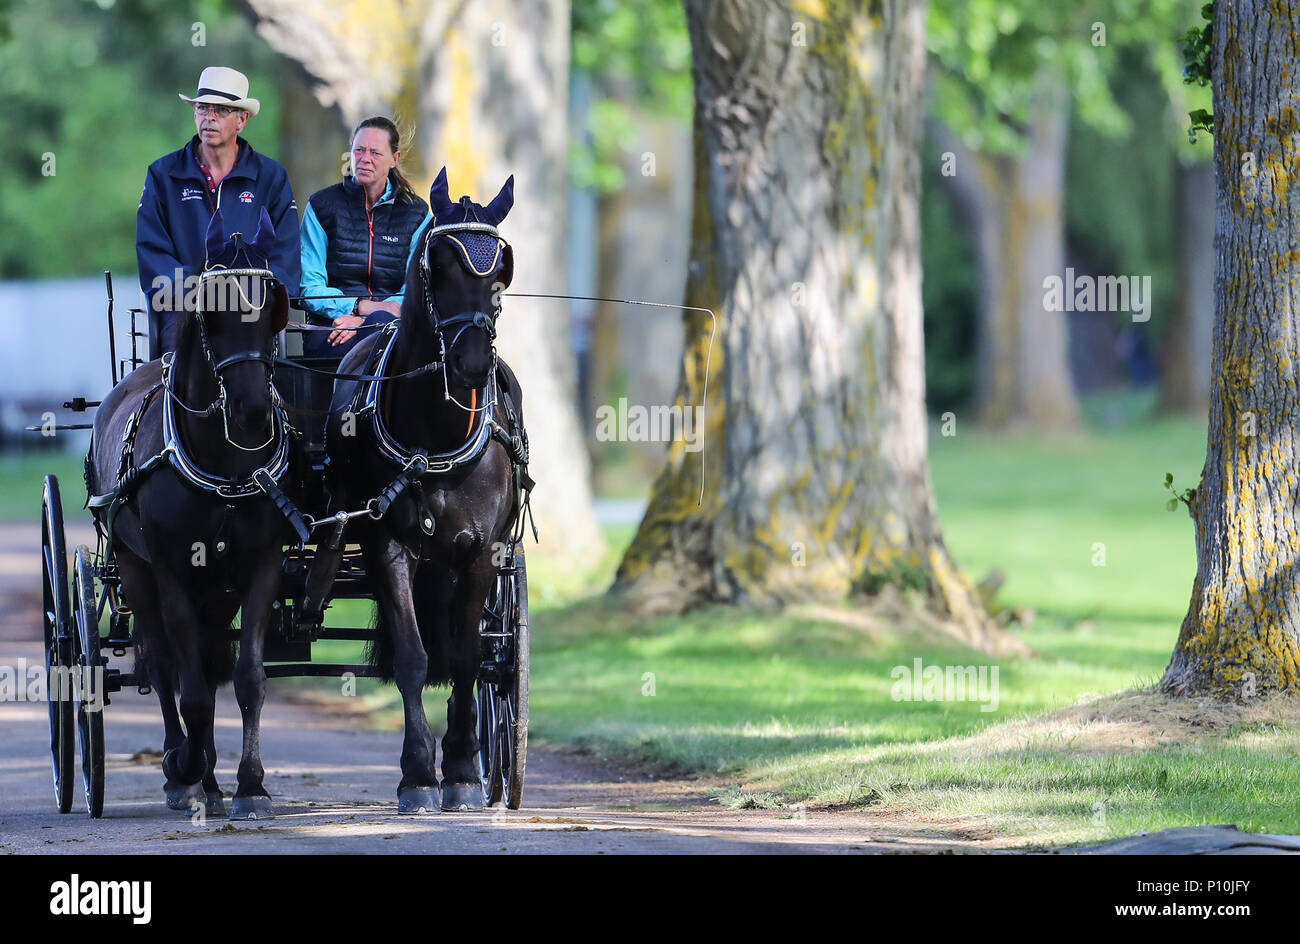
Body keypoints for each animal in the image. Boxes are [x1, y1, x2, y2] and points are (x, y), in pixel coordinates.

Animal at [89, 209, 301, 821]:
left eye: (271, 307)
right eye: (214, 311)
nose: (253, 412)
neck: (222, 459)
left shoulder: (259, 566)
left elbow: (247, 679)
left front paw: (251, 786)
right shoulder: (172, 572)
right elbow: (189, 690)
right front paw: (183, 767)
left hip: (218, 588)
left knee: (203, 666)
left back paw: (208, 778)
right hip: (135, 570)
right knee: (165, 670)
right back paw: (185, 771)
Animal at [325, 167, 527, 811]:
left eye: (501, 271)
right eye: (437, 265)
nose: (472, 363)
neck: (434, 436)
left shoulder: (482, 551)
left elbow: (465, 657)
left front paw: (462, 770)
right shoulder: (388, 543)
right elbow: (413, 658)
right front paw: (417, 772)